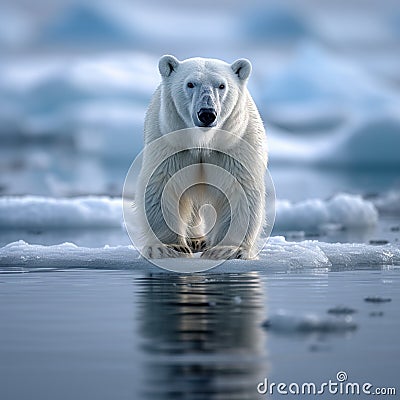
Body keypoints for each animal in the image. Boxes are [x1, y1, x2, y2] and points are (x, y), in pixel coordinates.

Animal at [135, 55, 268, 260]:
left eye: (221, 85)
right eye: (190, 84)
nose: (207, 113)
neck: (203, 141)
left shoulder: (235, 143)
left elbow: (240, 188)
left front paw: (228, 250)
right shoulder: (171, 142)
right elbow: (163, 184)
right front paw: (169, 248)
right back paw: (195, 240)